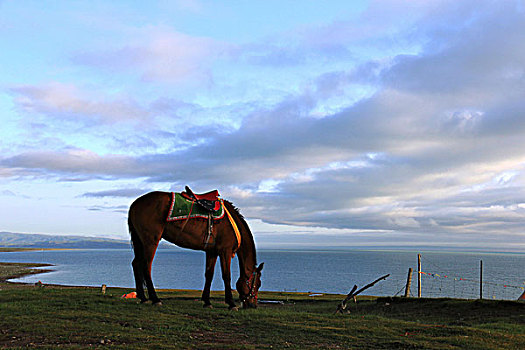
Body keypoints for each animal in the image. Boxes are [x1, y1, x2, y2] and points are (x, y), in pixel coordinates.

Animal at [129, 191, 264, 308]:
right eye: (257, 284)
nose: (253, 305)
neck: (232, 225)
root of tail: (135, 204)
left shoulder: (212, 252)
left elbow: (209, 275)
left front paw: (207, 302)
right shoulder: (225, 251)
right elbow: (227, 276)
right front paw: (231, 303)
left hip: (140, 242)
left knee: (136, 264)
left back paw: (143, 298)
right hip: (150, 241)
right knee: (146, 266)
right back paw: (155, 299)